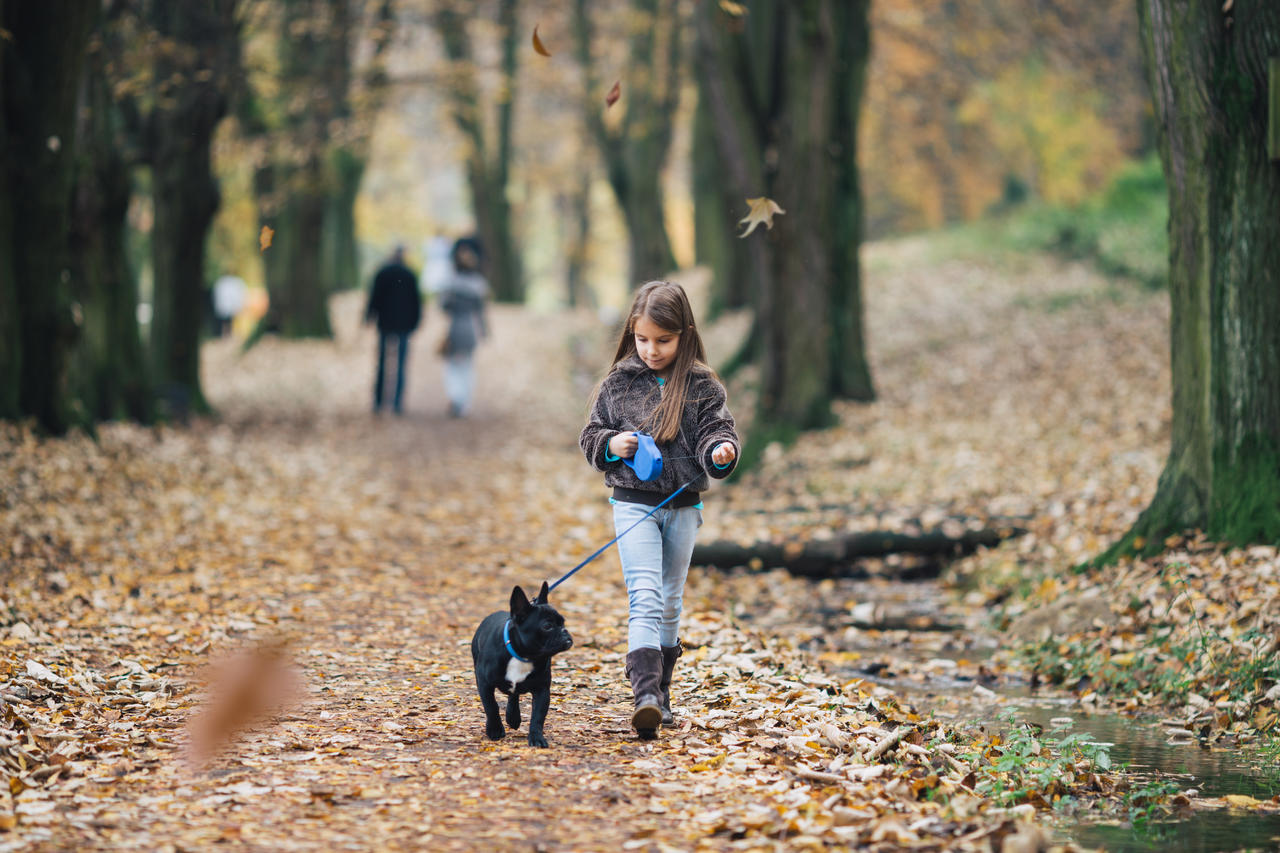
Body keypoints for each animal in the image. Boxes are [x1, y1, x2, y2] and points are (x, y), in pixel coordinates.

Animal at [468, 578, 573, 742]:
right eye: (547, 626)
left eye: (563, 622)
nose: (565, 631)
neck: (524, 656)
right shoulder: (484, 683)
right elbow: (491, 706)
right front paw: (495, 730)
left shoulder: (542, 690)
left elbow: (538, 716)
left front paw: (536, 738)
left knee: (514, 695)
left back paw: (513, 717)